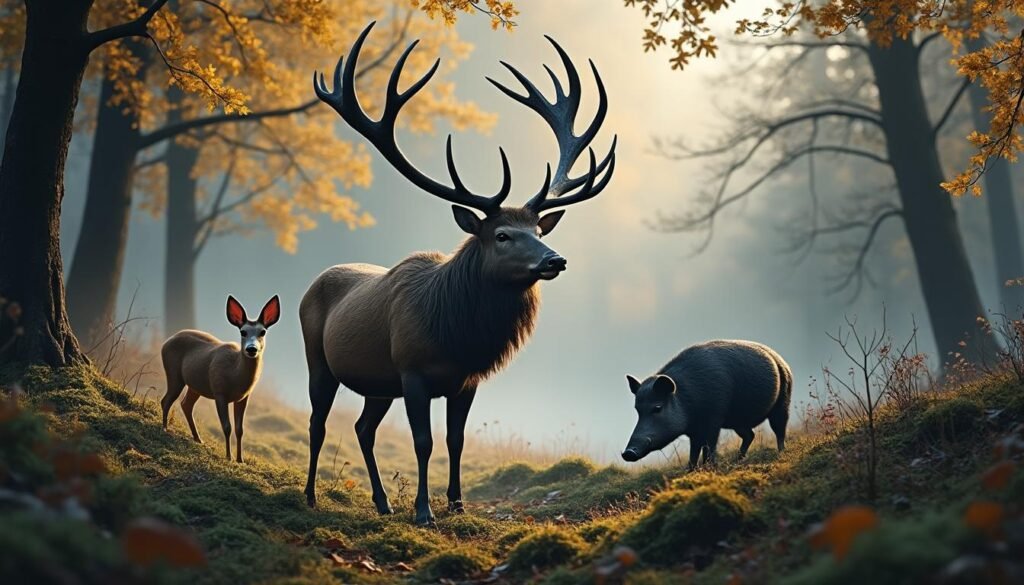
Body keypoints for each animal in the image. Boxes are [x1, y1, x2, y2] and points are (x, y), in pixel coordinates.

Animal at [161, 295, 281, 463]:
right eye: (243, 331)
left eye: (262, 331)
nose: (251, 349)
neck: (235, 375)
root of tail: (167, 340)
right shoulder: (219, 392)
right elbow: (227, 426)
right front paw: (229, 457)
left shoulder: (243, 397)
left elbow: (239, 429)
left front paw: (240, 459)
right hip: (173, 373)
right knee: (166, 400)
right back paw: (165, 428)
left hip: (195, 385)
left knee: (186, 404)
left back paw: (198, 439)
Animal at [302, 22, 616, 525]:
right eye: (502, 235)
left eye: (536, 229)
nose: (555, 260)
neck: (456, 333)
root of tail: (313, 282)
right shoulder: (412, 372)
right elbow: (423, 442)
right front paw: (424, 511)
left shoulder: (465, 381)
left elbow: (456, 440)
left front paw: (457, 503)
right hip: (319, 360)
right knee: (318, 422)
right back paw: (311, 495)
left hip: (377, 383)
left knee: (363, 427)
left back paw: (382, 502)